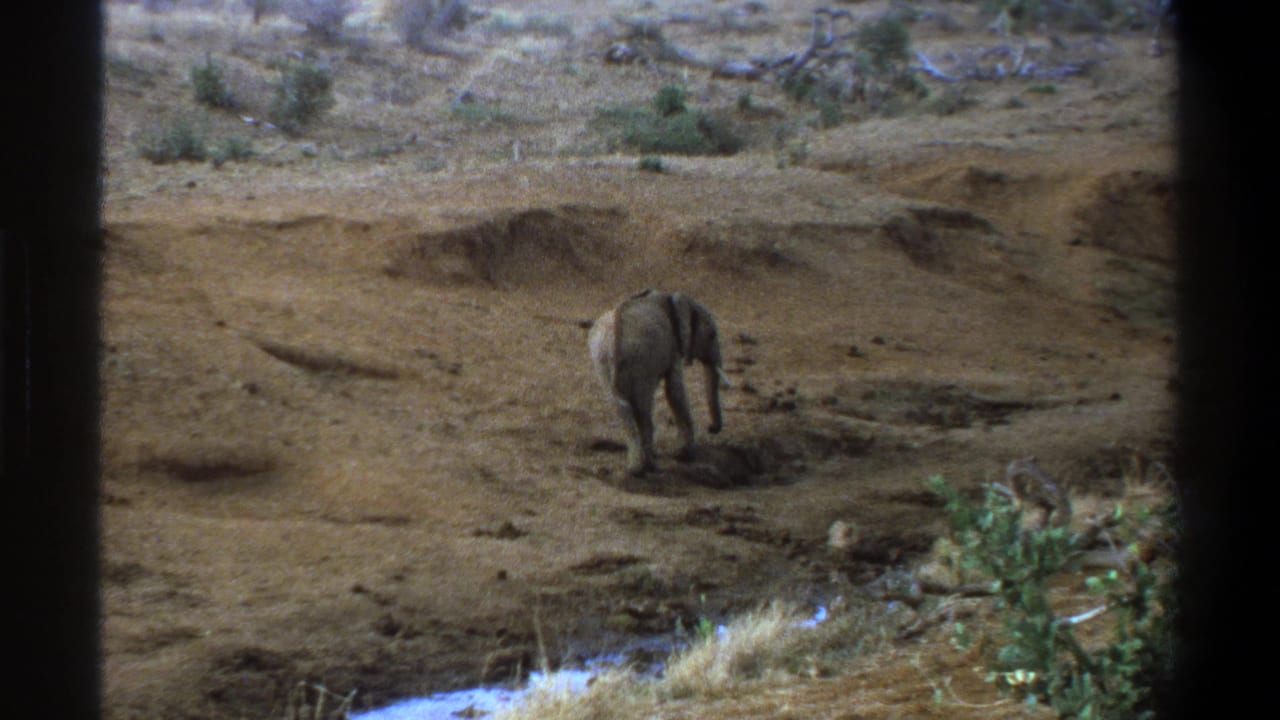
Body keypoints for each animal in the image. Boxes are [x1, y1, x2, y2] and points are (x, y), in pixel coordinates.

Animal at [588, 289, 731, 476]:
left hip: (603, 364)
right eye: (712, 335)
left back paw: (636, 468)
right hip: (640, 364)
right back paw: (649, 467)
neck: (674, 298)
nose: (711, 428)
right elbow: (674, 391)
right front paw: (685, 455)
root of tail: (613, 341)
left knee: (621, 408)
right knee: (643, 408)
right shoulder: (673, 346)